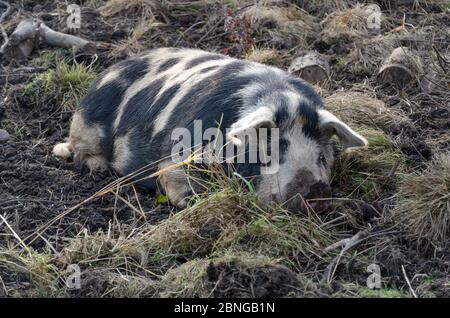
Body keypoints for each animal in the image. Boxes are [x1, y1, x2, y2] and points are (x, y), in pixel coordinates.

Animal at [53, 47, 370, 211]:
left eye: (321, 157)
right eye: (270, 153)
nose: (315, 188)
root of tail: (107, 72)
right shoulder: (177, 157)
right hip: (85, 124)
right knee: (80, 151)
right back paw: (97, 169)